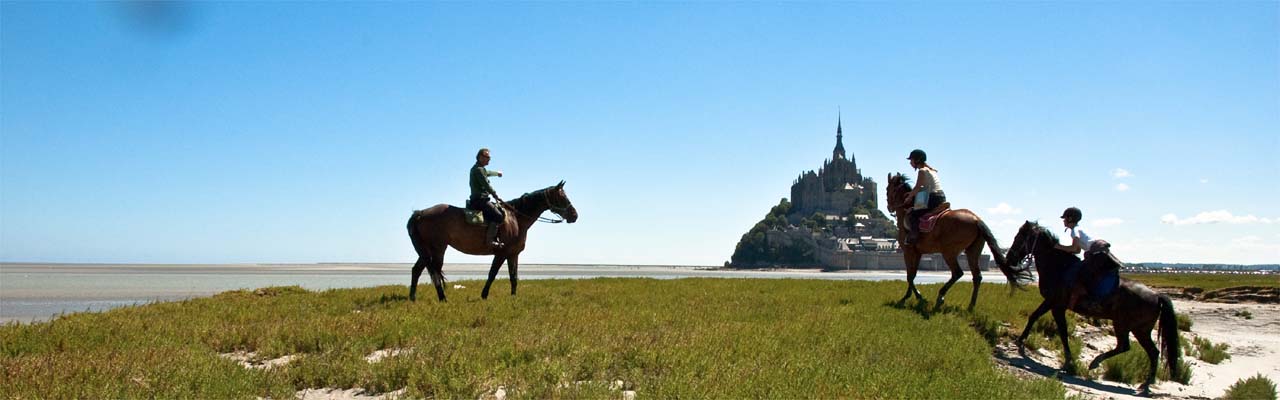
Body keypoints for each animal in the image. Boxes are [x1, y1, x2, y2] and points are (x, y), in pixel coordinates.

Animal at [404, 180, 581, 300]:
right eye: (562, 197)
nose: (574, 215)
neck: (516, 219)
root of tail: (420, 213)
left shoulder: (513, 254)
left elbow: (514, 277)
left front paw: (513, 297)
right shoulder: (502, 253)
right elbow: (492, 274)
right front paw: (484, 295)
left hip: (426, 250)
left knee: (417, 270)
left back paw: (413, 298)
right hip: (438, 248)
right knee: (434, 270)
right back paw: (442, 298)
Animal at [890, 173, 1029, 308]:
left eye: (888, 189)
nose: (889, 207)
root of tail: (976, 219)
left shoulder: (908, 251)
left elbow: (910, 276)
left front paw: (913, 297)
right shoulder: (917, 253)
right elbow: (912, 274)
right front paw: (914, 296)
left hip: (949, 252)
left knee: (957, 273)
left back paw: (941, 297)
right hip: (972, 251)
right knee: (977, 276)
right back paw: (971, 305)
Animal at [1003, 221, 1182, 394]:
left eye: (1019, 237)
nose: (1009, 258)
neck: (1059, 267)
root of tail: (1156, 295)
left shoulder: (1056, 305)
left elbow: (1062, 331)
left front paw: (1068, 361)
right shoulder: (1051, 303)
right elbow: (1035, 316)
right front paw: (1020, 341)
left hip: (1128, 326)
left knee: (1129, 347)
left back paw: (1100, 364)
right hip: (1137, 329)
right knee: (1148, 351)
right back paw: (1144, 382)